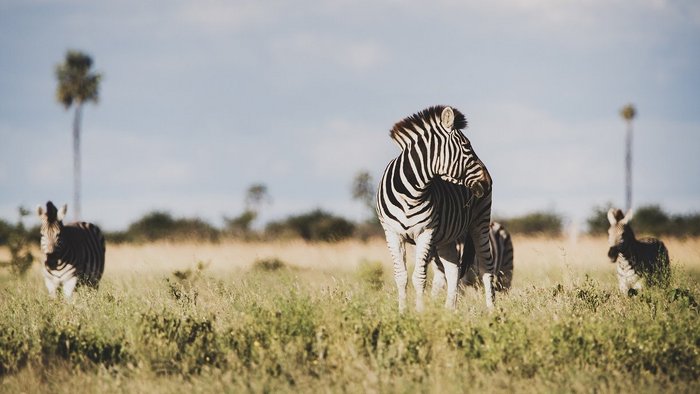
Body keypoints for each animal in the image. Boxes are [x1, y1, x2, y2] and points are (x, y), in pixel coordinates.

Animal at [374, 104, 494, 310]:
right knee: (453, 269)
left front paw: (420, 312)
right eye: (467, 146)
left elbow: (419, 277)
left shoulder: (426, 232)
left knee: (486, 269)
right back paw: (449, 310)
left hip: (480, 223)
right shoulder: (392, 233)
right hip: (448, 237)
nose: (488, 182)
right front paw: (402, 312)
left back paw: (492, 310)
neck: (410, 193)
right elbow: (401, 276)